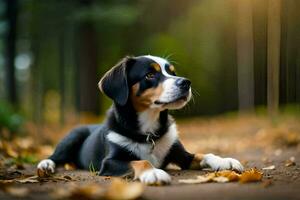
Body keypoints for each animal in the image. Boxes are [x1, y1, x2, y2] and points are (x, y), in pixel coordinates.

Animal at [37, 54, 244, 184]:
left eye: (173, 73)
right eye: (150, 74)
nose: (186, 83)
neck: (148, 131)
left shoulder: (180, 153)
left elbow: (204, 154)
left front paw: (225, 161)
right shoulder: (110, 162)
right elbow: (140, 161)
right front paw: (153, 173)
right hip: (73, 135)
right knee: (55, 156)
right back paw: (46, 165)